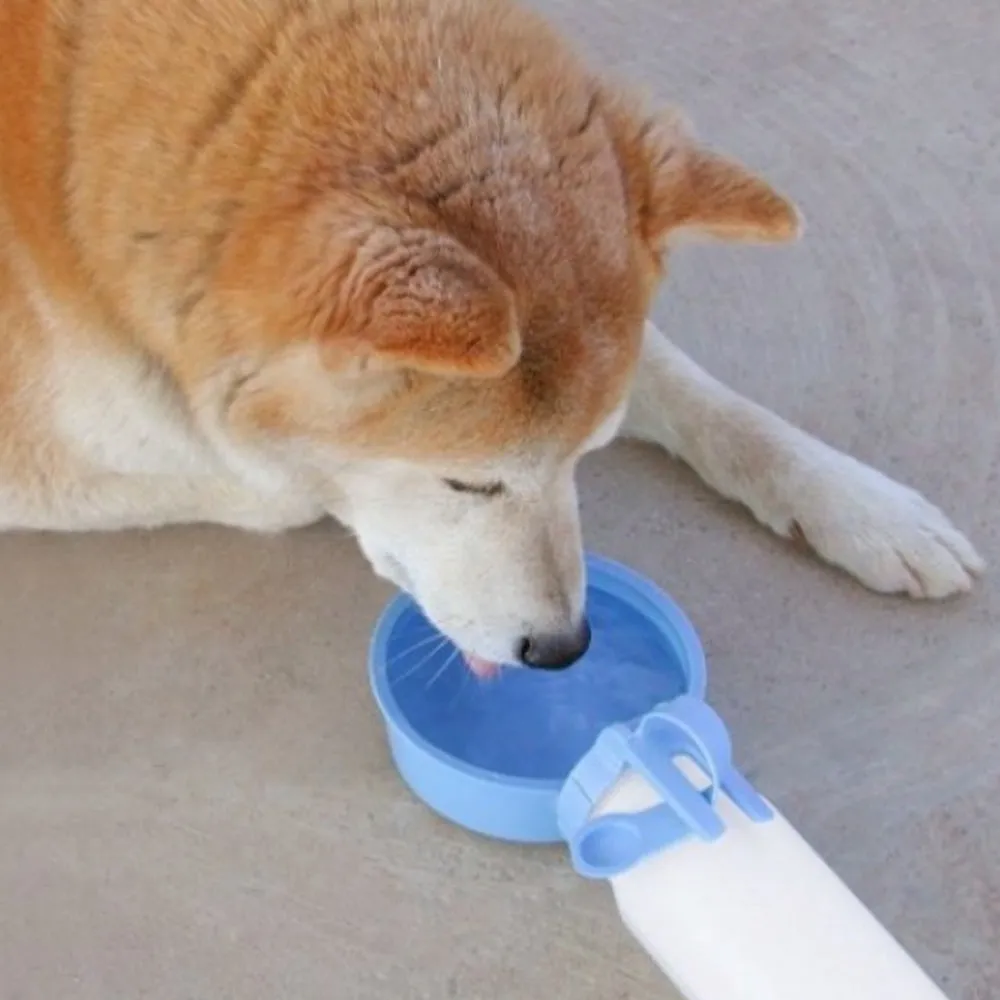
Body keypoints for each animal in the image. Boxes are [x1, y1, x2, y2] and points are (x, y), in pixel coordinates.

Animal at [0, 0, 984, 672]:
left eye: (589, 455)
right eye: (468, 481)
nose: (564, 649)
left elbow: (699, 394)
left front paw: (863, 505)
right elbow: (271, 481)